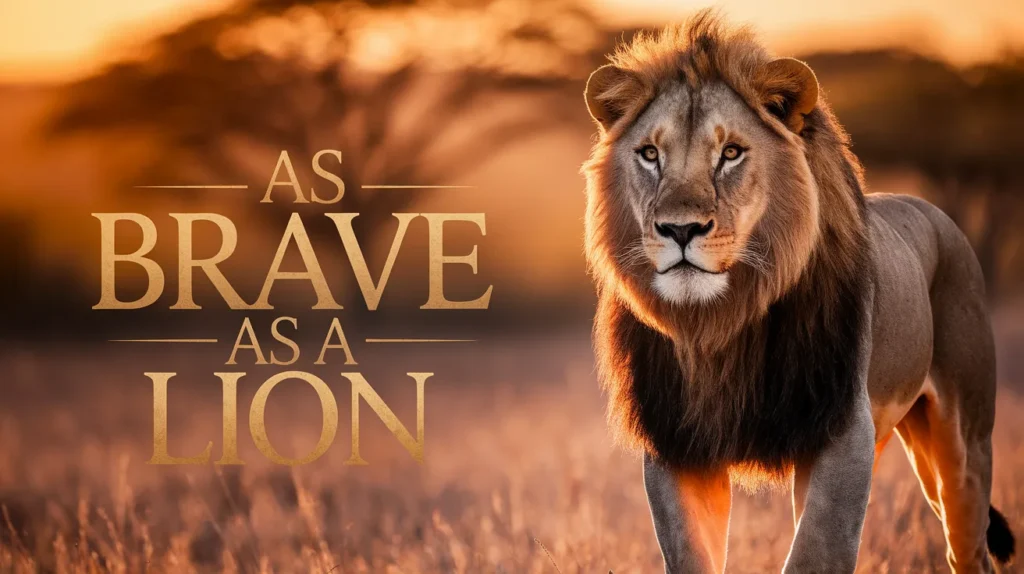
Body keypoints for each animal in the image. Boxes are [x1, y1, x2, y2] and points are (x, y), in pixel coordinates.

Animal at [582, 13, 1016, 574]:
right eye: (650, 155)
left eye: (731, 153)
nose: (680, 229)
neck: (721, 323)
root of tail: (937, 213)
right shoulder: (676, 442)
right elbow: (692, 554)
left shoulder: (842, 430)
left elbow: (815, 550)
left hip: (963, 441)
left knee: (969, 544)